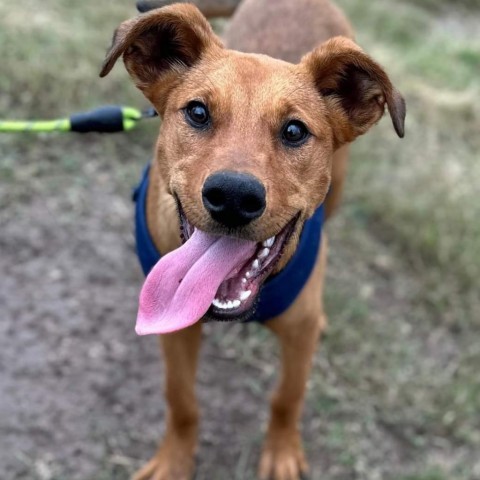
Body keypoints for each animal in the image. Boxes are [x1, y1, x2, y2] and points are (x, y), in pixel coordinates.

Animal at [100, 1, 404, 478]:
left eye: (295, 131)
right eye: (198, 112)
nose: (233, 197)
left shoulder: (298, 335)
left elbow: (287, 398)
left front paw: (281, 453)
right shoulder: (174, 328)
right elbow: (181, 399)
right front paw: (174, 459)